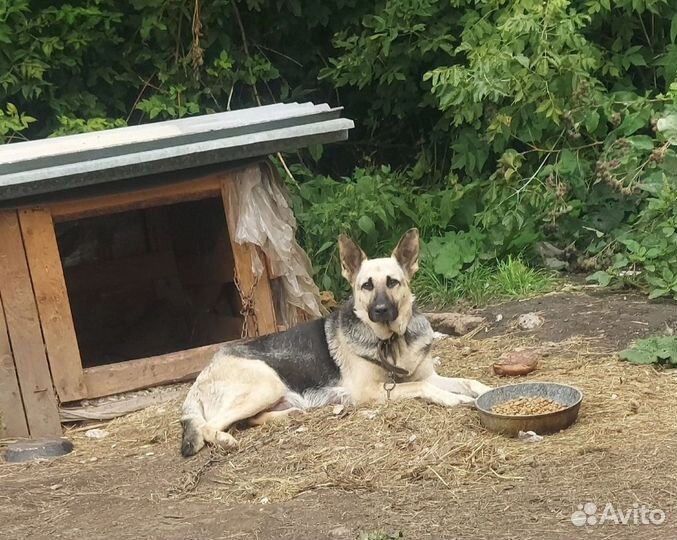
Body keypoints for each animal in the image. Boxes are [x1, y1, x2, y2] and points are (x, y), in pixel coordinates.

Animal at [180, 228, 492, 456]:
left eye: (392, 282)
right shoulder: (373, 391)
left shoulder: (428, 374)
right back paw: (224, 440)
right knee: (209, 426)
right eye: (366, 286)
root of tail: (204, 372)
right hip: (266, 384)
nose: (380, 311)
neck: (392, 341)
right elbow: (423, 387)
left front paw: (486, 390)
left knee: (247, 421)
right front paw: (452, 399)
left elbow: (468, 382)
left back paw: (289, 416)